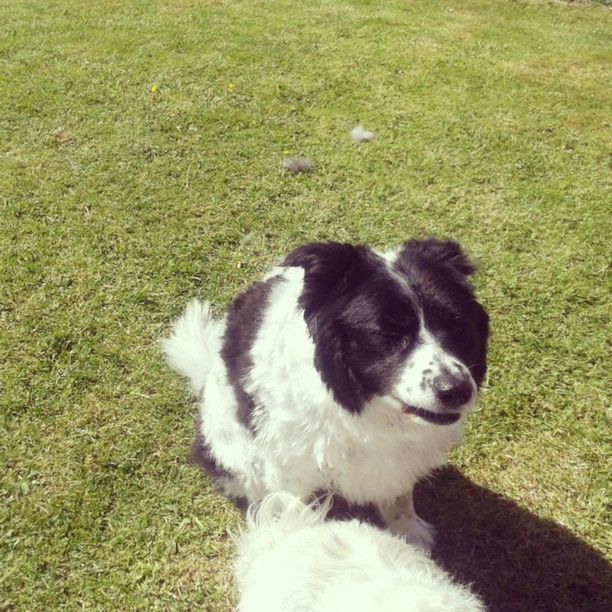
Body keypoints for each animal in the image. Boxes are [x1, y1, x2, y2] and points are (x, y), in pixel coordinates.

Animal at [163, 239, 488, 548]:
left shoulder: (399, 461)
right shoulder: (290, 473)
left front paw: (409, 538)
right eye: (387, 334)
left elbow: (400, 501)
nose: (457, 391)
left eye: (457, 325)